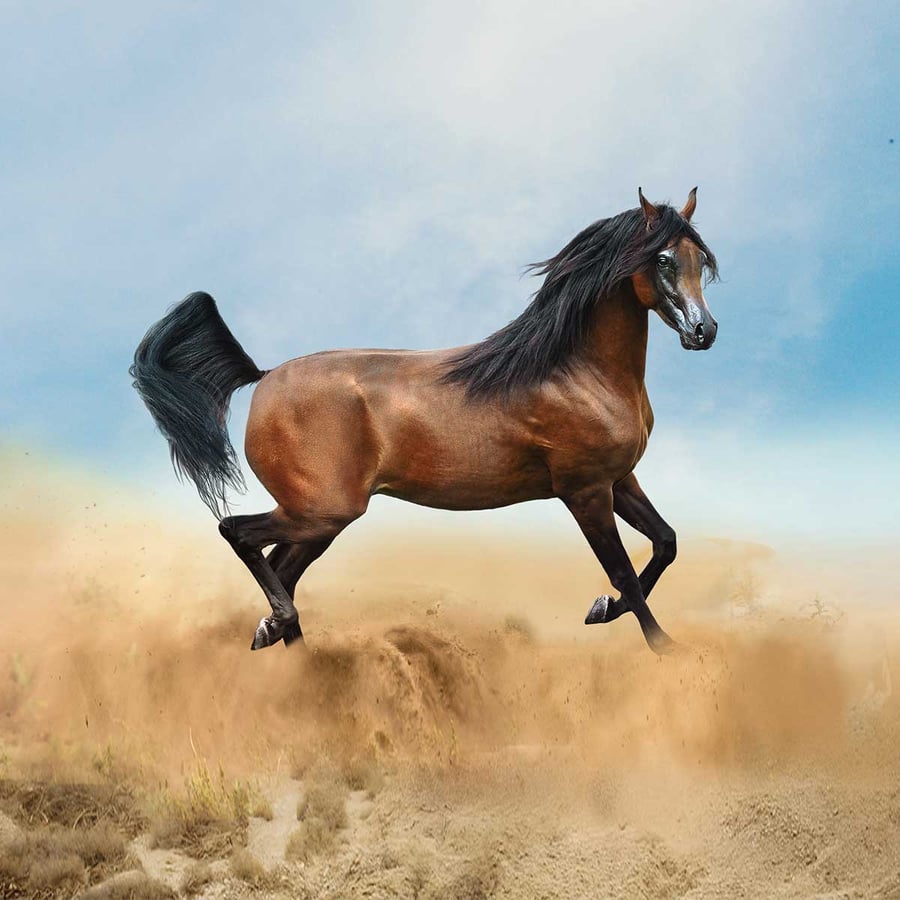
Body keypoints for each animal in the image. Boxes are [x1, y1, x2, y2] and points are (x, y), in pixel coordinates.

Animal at [131, 187, 719, 655]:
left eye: (700, 259)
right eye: (663, 259)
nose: (703, 331)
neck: (573, 371)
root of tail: (264, 376)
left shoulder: (620, 480)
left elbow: (665, 543)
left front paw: (602, 609)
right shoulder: (585, 490)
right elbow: (625, 574)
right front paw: (664, 648)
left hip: (317, 518)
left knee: (281, 566)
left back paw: (284, 646)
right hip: (322, 511)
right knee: (240, 534)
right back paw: (283, 631)